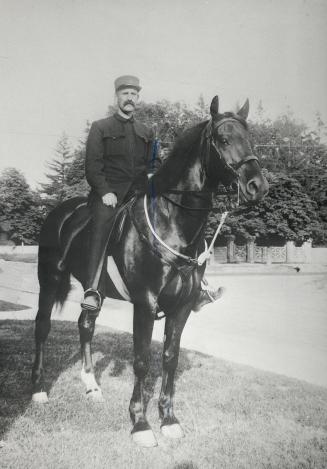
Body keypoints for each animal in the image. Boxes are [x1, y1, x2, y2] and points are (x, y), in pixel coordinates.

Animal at [32, 96, 270, 446]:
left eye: (250, 139)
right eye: (224, 139)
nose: (257, 185)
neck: (172, 222)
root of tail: (60, 212)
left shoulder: (181, 307)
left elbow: (170, 357)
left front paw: (168, 419)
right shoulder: (145, 305)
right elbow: (142, 361)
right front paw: (140, 423)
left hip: (95, 290)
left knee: (85, 324)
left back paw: (91, 385)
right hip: (49, 281)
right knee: (42, 326)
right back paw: (38, 388)